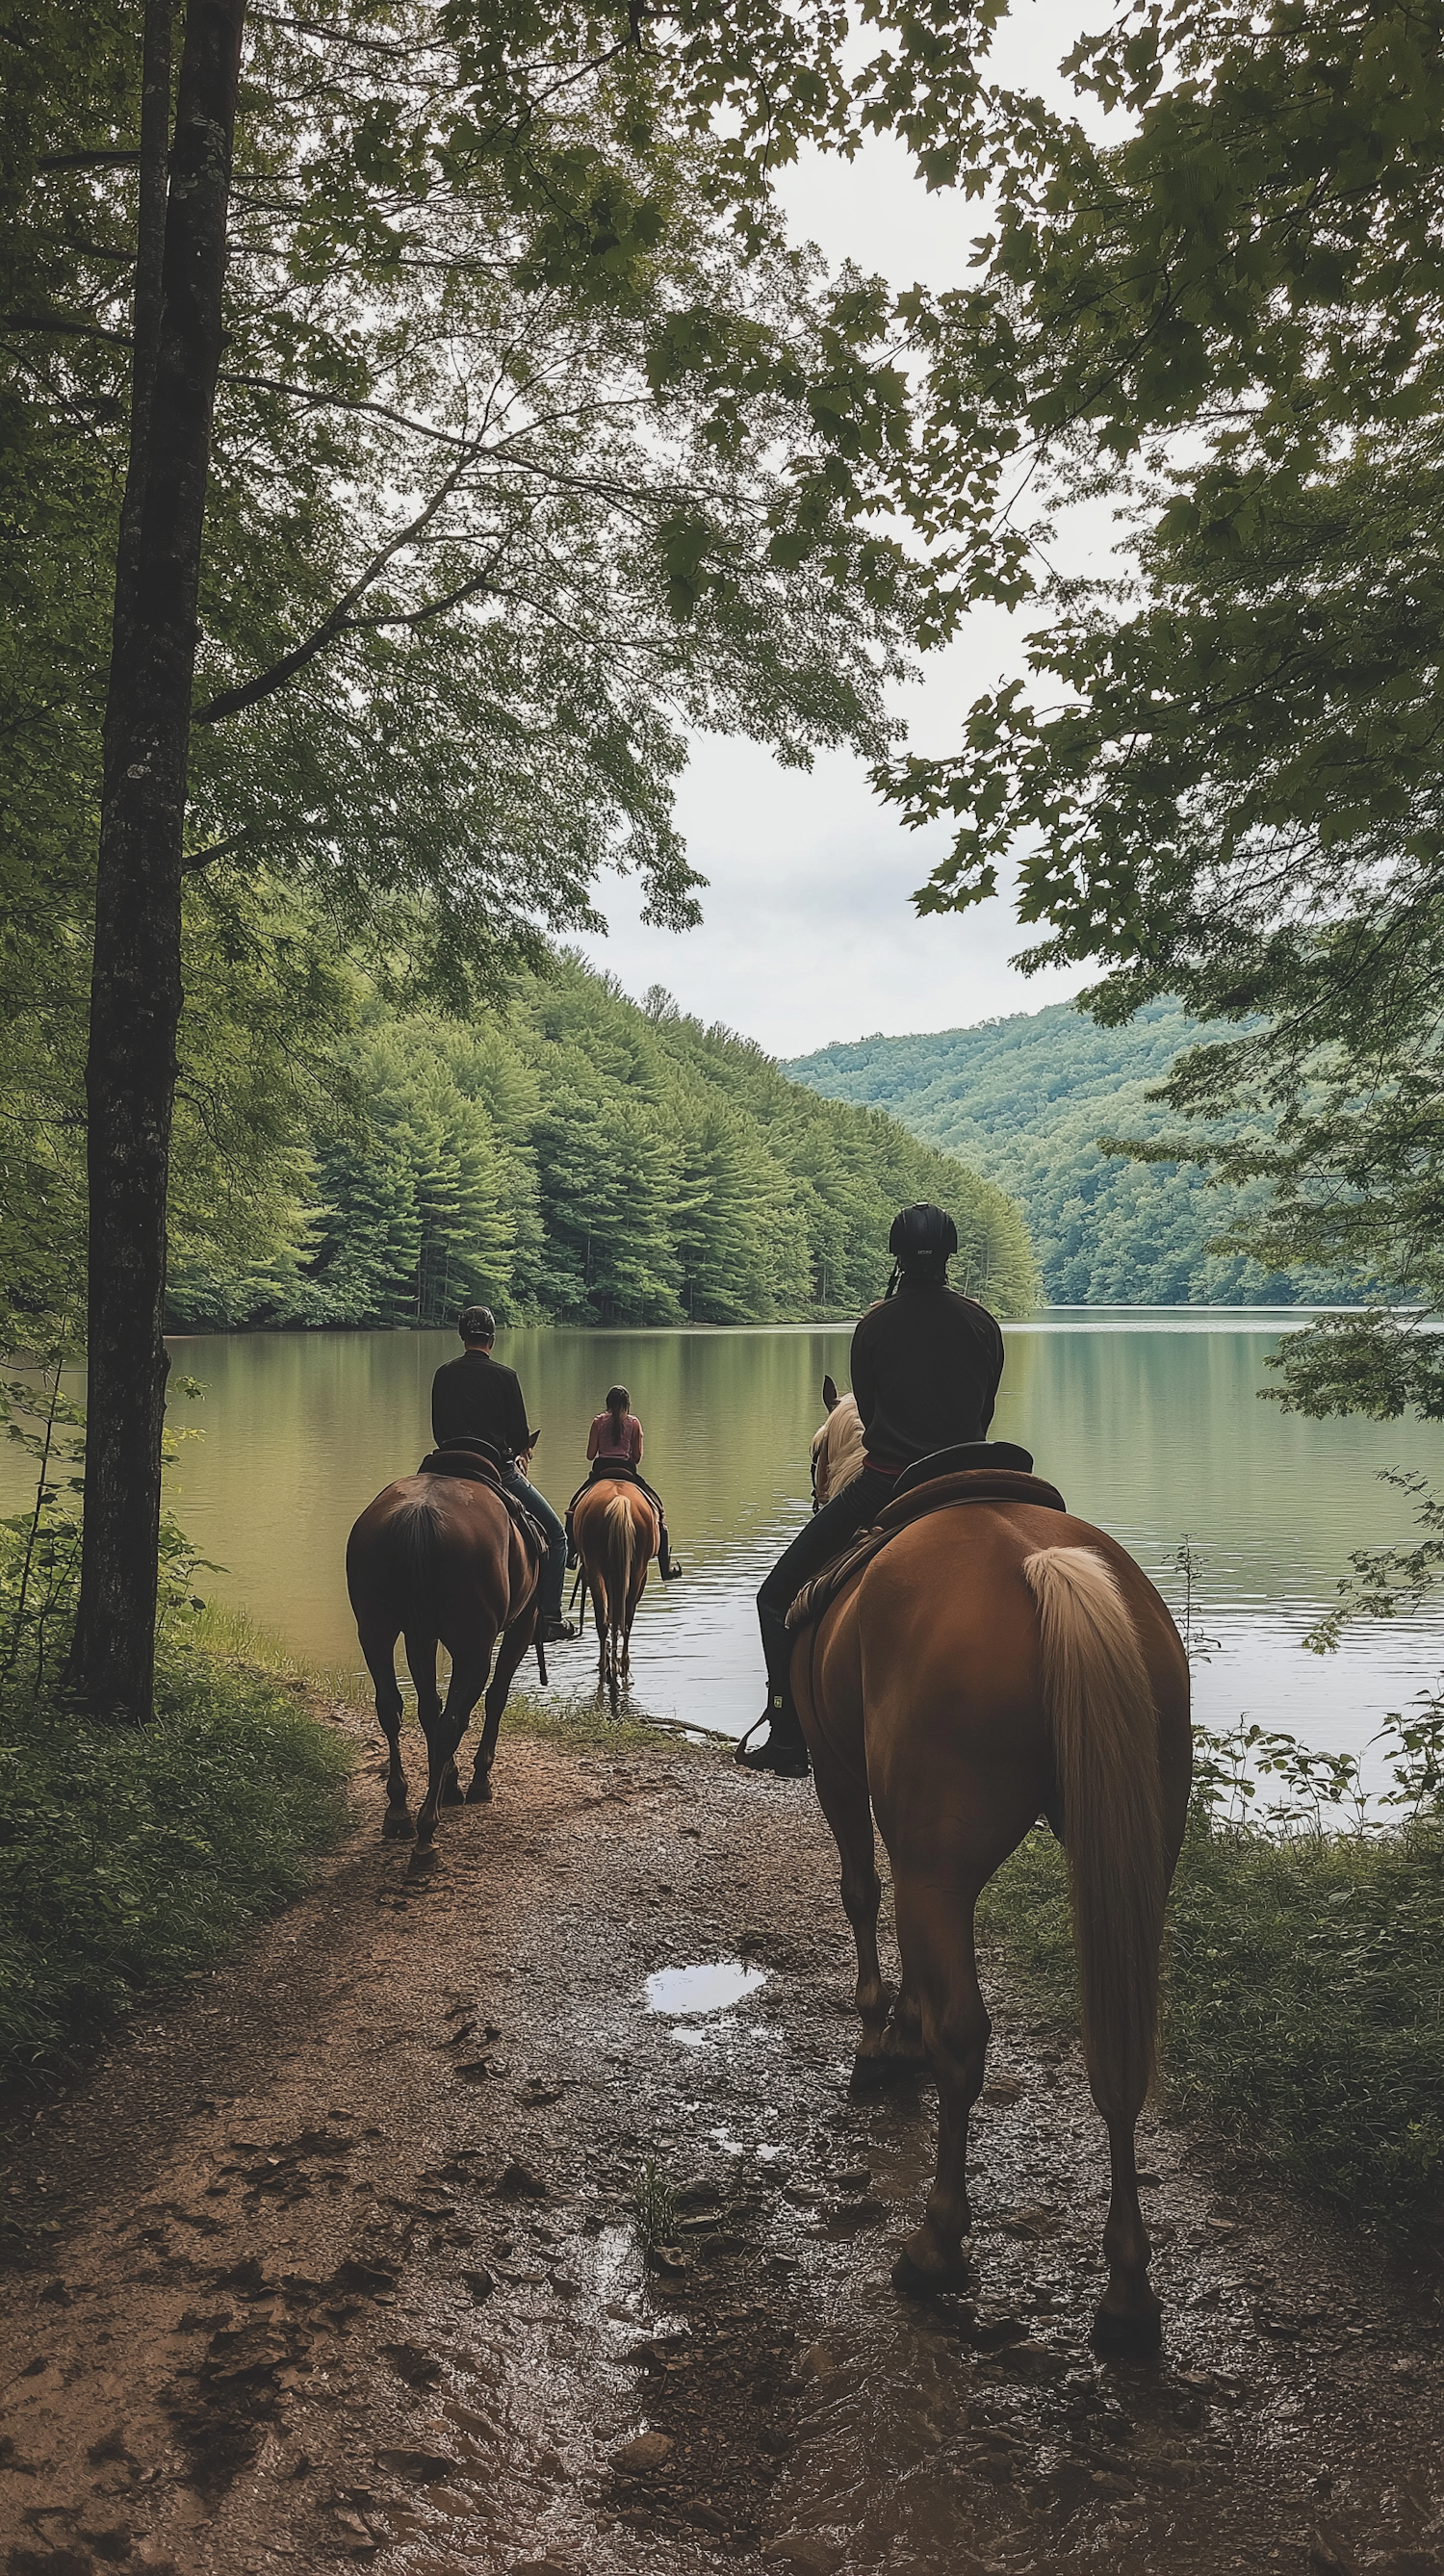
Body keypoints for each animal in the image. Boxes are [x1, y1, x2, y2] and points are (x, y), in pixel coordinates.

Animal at [342, 1473, 540, 1875]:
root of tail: (419, 1517)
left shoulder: (423, 1635)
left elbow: (428, 1707)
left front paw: (448, 1781)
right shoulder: (524, 1623)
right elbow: (495, 1697)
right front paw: (476, 1781)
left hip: (376, 1629)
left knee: (392, 1708)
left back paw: (399, 1811)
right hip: (474, 1648)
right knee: (452, 1721)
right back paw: (426, 1835)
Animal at [576, 1483, 663, 1700]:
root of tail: (620, 1500)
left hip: (598, 1568)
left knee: (608, 1619)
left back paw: (609, 1665)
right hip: (635, 1570)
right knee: (623, 1618)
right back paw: (619, 1666)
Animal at [787, 1401, 1183, 2349]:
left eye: (816, 1452)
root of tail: (1040, 1568)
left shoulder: (838, 1776)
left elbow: (862, 1894)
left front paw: (879, 2040)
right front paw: (901, 2028)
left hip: (939, 1863)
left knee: (965, 2039)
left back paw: (935, 2246)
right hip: (1137, 1861)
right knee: (1119, 2057)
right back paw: (1127, 2295)